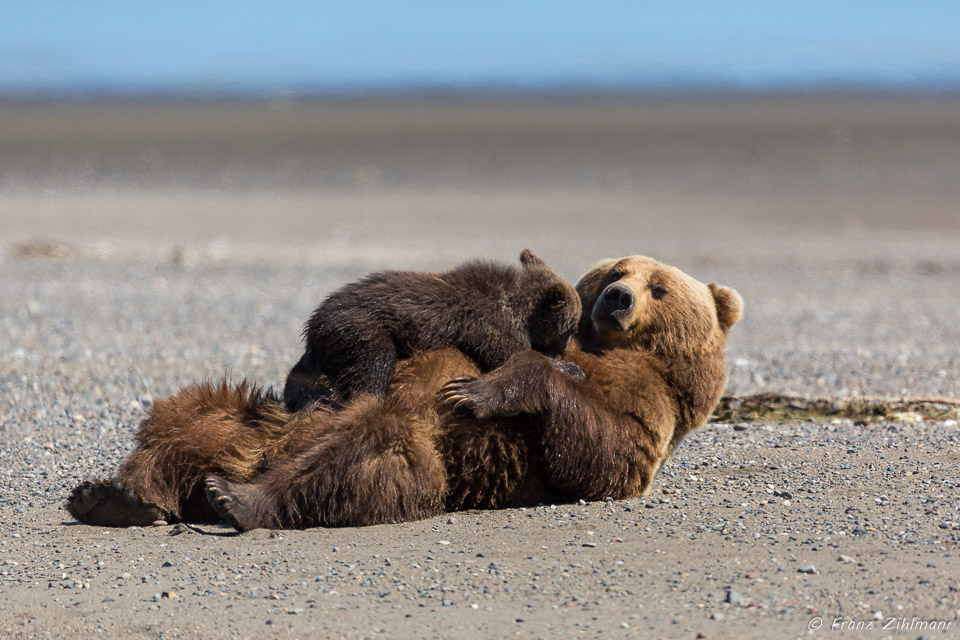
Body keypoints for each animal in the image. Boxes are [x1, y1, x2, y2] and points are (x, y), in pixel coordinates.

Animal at [282, 250, 580, 410]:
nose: (565, 350)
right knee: (373, 363)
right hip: (357, 326)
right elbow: (511, 356)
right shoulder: (489, 325)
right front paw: (572, 368)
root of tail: (311, 328)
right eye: (570, 328)